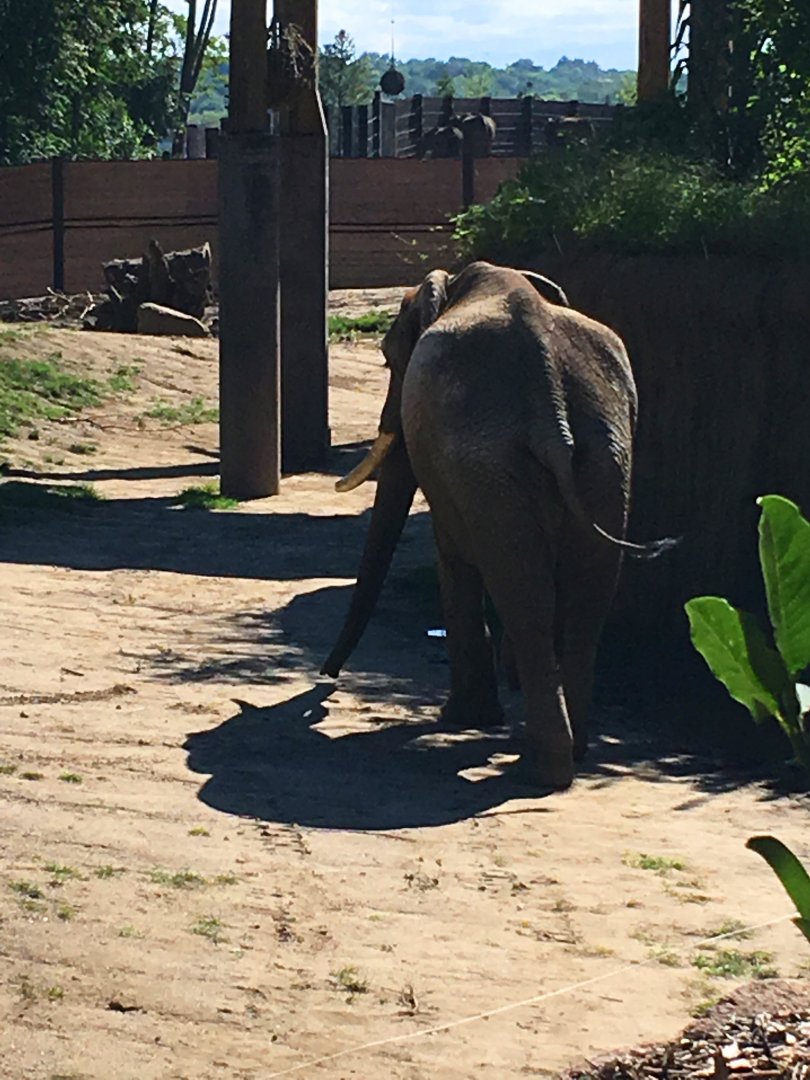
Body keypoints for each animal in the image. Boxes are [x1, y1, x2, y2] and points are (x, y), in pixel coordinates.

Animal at [321, 261, 676, 791]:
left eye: (388, 360)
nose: (328, 678)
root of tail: (550, 404)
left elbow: (453, 558)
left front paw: (464, 719)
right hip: (605, 454)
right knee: (584, 595)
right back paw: (573, 751)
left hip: (494, 460)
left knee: (526, 594)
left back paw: (541, 768)